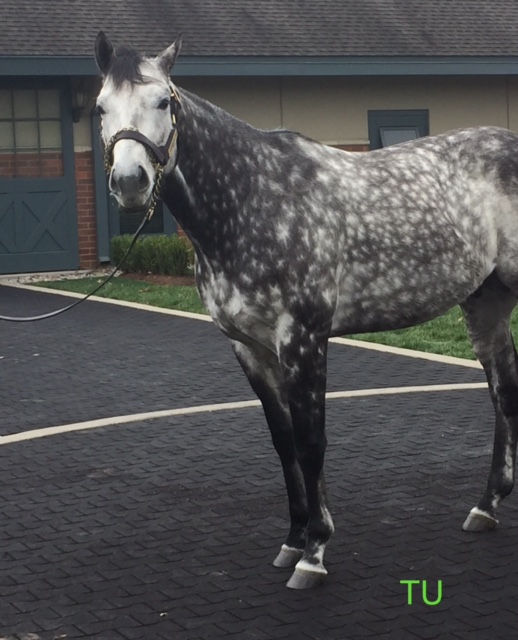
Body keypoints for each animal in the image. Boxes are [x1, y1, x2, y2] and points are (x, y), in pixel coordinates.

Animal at [95, 32, 518, 588]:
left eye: (164, 102)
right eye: (100, 107)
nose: (130, 181)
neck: (252, 200)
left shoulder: (304, 339)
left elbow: (311, 441)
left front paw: (315, 552)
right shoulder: (250, 348)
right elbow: (284, 442)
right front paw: (293, 539)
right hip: (486, 301)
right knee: (503, 388)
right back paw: (487, 505)